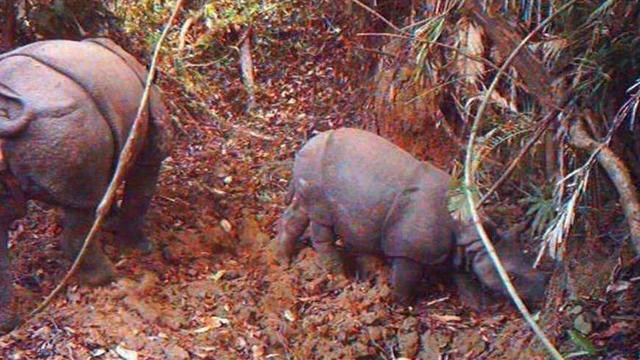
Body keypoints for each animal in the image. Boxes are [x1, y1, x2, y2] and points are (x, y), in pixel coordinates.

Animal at [0, 38, 174, 334]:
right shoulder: (151, 143)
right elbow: (139, 193)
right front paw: (139, 249)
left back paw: (8, 325)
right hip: (67, 125)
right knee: (85, 208)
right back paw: (108, 279)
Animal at [274, 128, 544, 306]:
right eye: (511, 277)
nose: (543, 291)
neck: (472, 236)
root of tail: (304, 147)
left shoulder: (454, 250)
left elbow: (465, 281)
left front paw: (482, 310)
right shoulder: (409, 252)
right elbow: (406, 279)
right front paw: (400, 305)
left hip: (312, 171)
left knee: (302, 210)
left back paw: (282, 261)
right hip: (318, 178)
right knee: (322, 221)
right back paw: (340, 279)